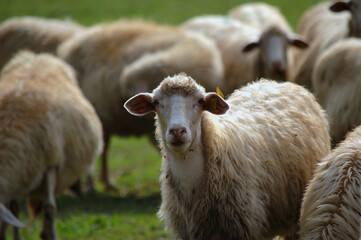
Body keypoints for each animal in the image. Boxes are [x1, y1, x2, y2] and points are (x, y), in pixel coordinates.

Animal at [0, 51, 102, 240]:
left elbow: (49, 209)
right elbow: (14, 210)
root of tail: (37, 57)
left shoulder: (51, 163)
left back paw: (46, 233)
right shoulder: (16, 178)